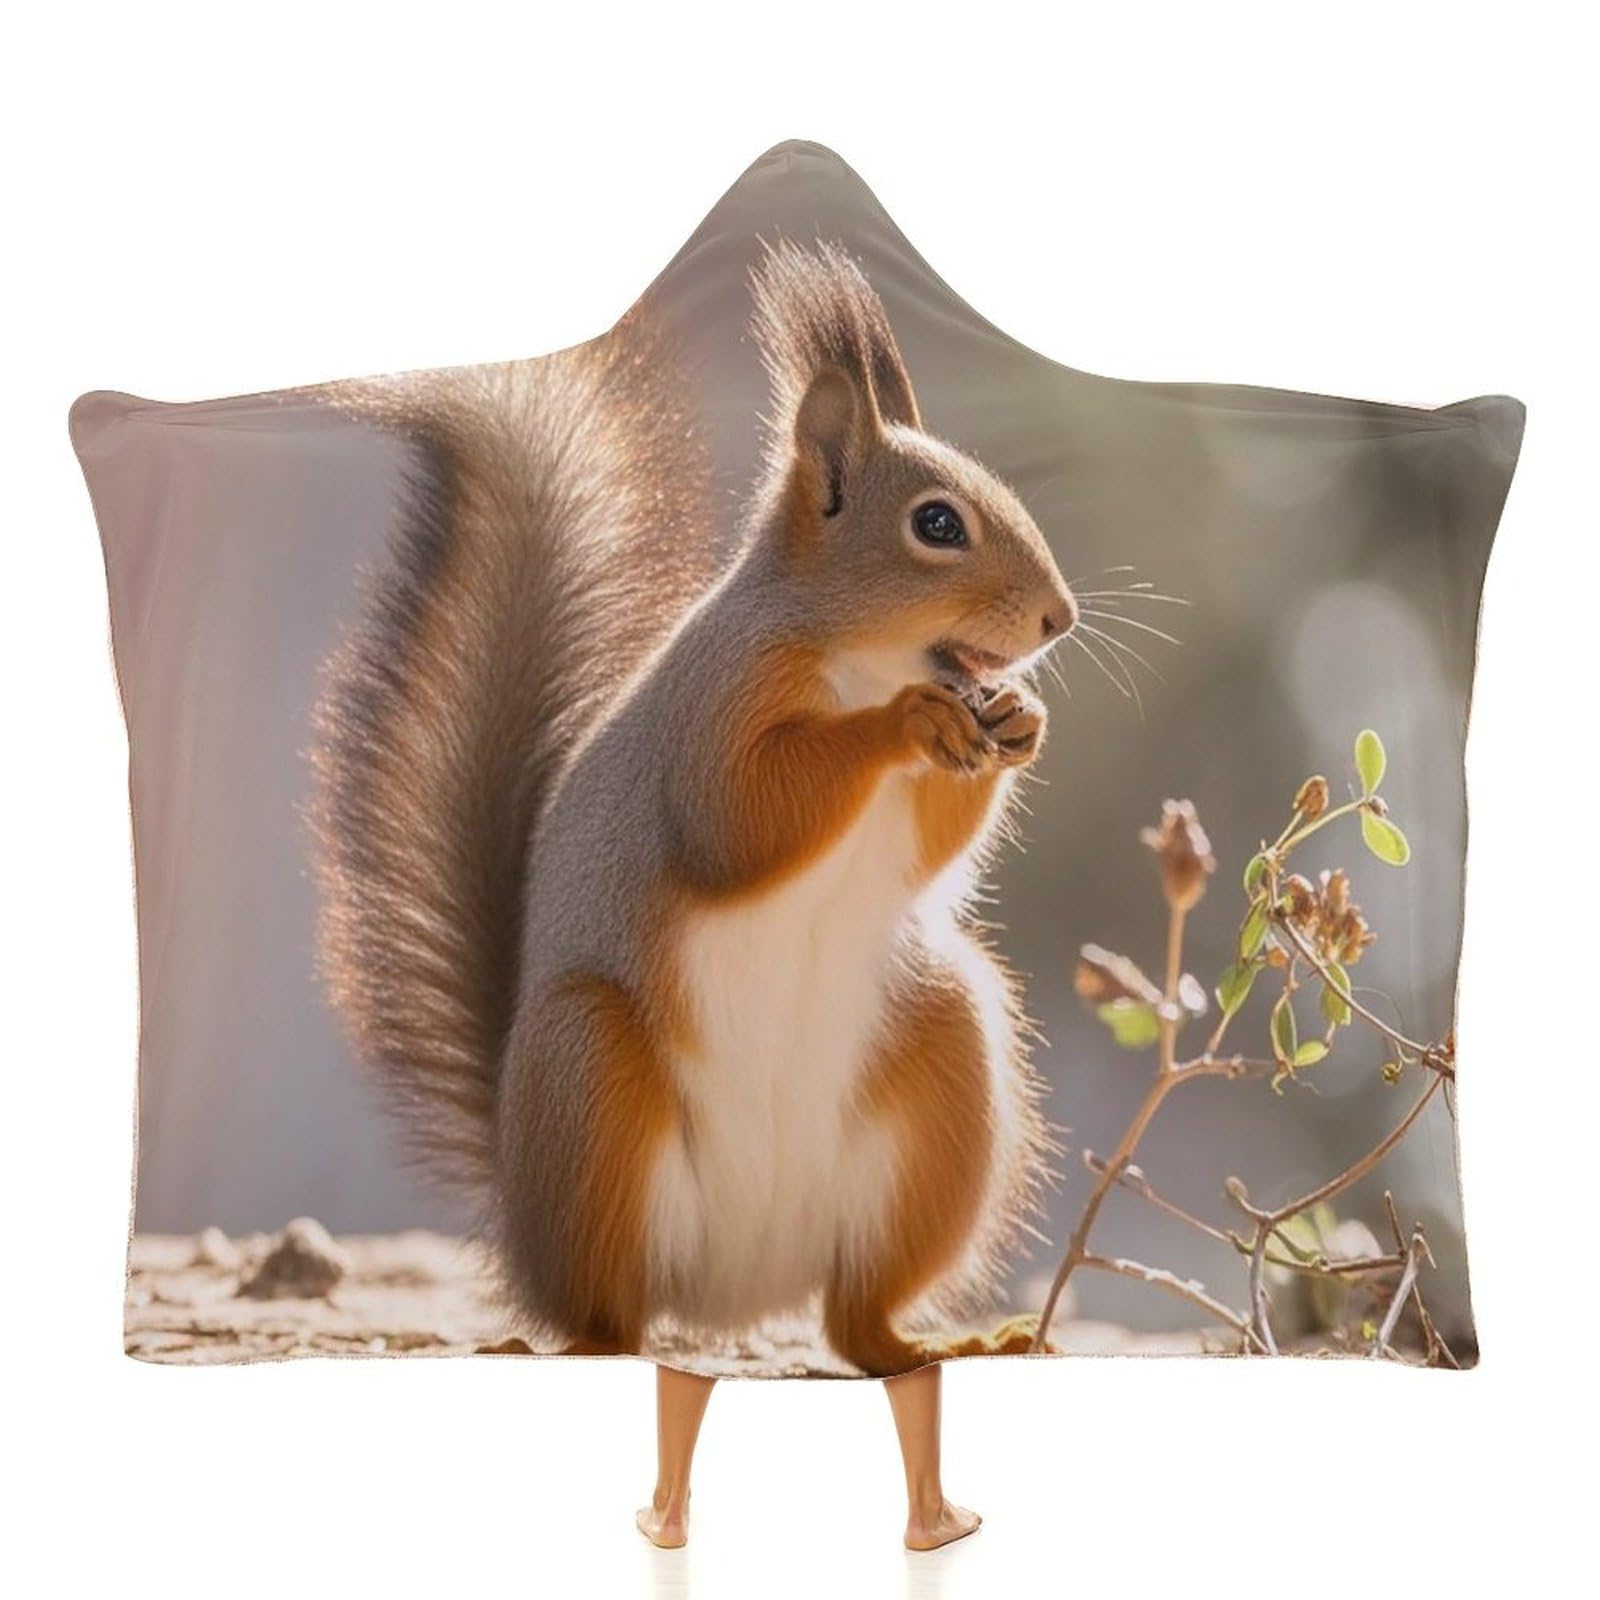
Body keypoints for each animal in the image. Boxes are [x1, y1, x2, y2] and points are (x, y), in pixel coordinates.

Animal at [311, 240, 1078, 1376]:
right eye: (937, 523)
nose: (1059, 618)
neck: (859, 657)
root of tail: (735, 1293)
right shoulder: (716, 708)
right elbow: (740, 822)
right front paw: (904, 722)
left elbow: (927, 848)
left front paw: (1019, 719)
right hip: (593, 1076)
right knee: (604, 1311)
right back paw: (579, 1343)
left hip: (948, 1062)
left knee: (857, 1319)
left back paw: (944, 1343)